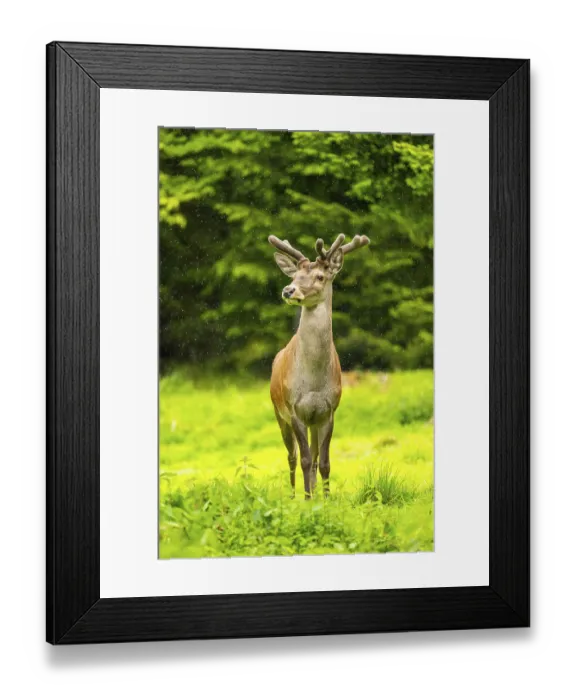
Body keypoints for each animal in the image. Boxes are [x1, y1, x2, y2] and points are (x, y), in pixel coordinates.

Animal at [268, 233, 370, 499]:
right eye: (294, 276)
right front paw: (306, 499)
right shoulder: (294, 407)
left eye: (320, 276)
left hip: (312, 421)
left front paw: (326, 499)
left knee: (313, 456)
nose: (288, 290)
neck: (313, 381)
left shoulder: (329, 409)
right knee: (292, 456)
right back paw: (293, 495)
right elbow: (304, 459)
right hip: (278, 412)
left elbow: (324, 461)